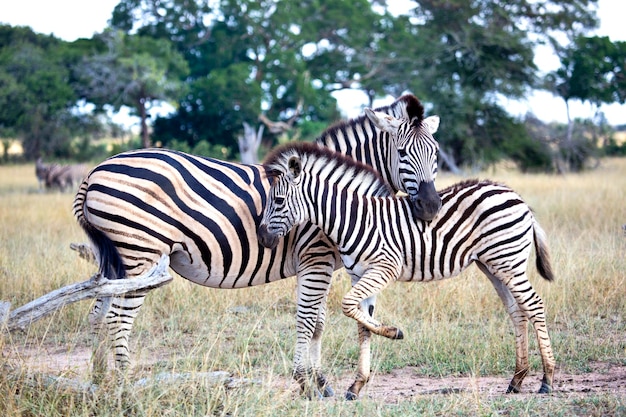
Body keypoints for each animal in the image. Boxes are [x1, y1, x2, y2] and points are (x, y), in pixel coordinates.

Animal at [70, 92, 442, 394]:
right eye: (403, 152)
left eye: (436, 155)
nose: (430, 207)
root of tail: (94, 172)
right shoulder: (317, 258)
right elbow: (311, 320)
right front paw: (308, 384)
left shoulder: (317, 264)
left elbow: (322, 322)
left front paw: (321, 382)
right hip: (141, 255)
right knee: (119, 318)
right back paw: (125, 385)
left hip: (115, 259)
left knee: (98, 313)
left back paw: (100, 379)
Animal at [258, 126, 556, 396]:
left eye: (279, 200)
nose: (262, 238)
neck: (352, 218)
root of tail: (515, 195)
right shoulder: (360, 274)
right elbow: (361, 323)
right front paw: (358, 383)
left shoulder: (384, 268)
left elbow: (347, 306)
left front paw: (392, 332)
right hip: (494, 265)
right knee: (518, 312)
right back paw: (517, 380)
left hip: (508, 261)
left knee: (534, 305)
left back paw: (547, 379)